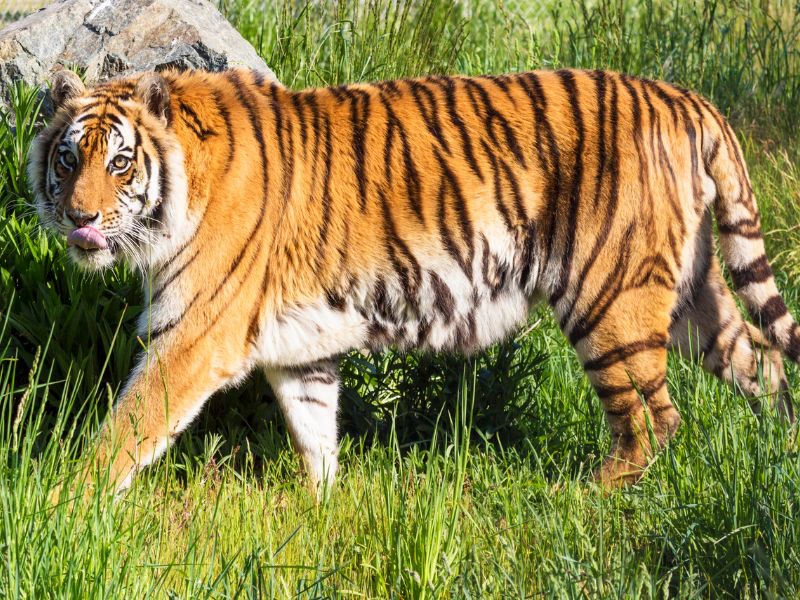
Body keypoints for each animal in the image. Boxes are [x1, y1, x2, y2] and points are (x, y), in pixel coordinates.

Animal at [29, 66, 797, 497]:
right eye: (68, 158)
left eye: (120, 162)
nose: (79, 217)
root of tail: (689, 99)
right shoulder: (301, 351)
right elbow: (315, 431)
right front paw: (322, 508)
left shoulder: (191, 336)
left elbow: (126, 428)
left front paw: (63, 498)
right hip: (691, 296)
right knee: (762, 363)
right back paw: (783, 451)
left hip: (610, 299)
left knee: (653, 417)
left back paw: (586, 495)